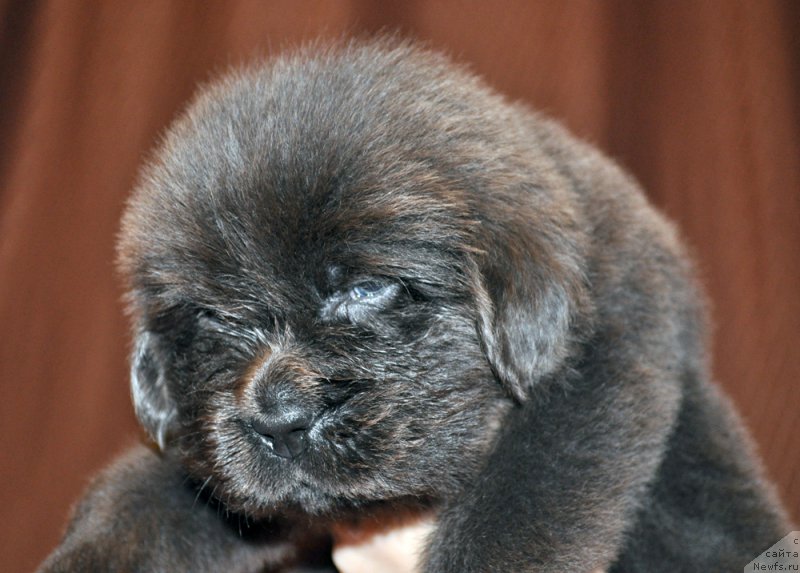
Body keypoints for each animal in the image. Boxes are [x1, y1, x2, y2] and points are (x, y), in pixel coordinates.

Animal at [40, 40, 792, 572]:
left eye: (365, 289)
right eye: (217, 317)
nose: (278, 420)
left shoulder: (600, 373)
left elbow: (519, 508)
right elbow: (146, 493)